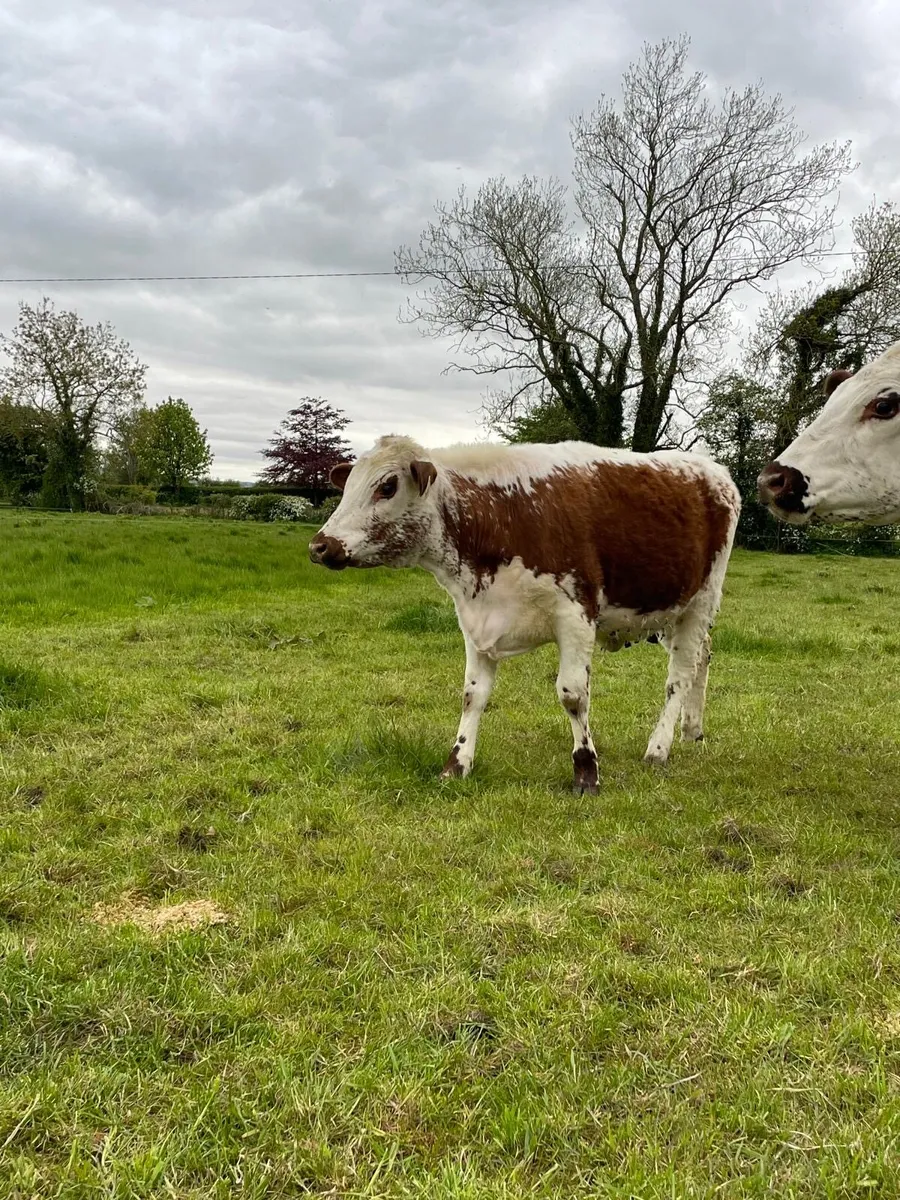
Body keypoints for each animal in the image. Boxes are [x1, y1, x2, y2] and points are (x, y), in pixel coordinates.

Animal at [309, 436, 741, 793]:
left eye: (387, 486)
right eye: (348, 486)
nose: (320, 545)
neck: (501, 515)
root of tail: (714, 470)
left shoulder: (575, 615)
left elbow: (573, 695)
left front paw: (586, 770)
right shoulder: (475, 618)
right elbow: (472, 696)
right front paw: (457, 763)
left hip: (700, 602)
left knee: (679, 677)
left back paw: (659, 746)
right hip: (667, 611)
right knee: (703, 657)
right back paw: (692, 730)